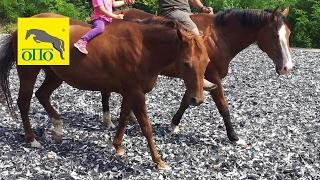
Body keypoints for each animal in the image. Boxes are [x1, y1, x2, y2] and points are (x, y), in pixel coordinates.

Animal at [0, 13, 211, 169]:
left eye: (207, 61)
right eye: (186, 63)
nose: (197, 99)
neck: (144, 47)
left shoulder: (130, 92)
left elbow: (124, 118)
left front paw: (118, 146)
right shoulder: (137, 94)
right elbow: (146, 127)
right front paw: (158, 161)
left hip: (55, 75)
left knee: (42, 95)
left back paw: (58, 128)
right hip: (29, 72)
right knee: (24, 102)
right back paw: (32, 139)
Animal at [101, 7, 294, 148]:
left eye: (289, 34)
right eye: (275, 35)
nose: (287, 67)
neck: (218, 38)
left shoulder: (196, 79)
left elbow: (186, 101)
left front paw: (174, 124)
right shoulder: (213, 77)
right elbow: (223, 108)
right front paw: (234, 137)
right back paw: (108, 119)